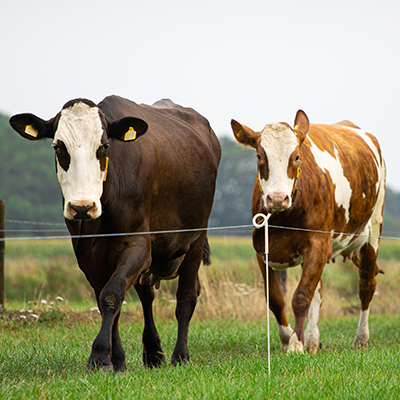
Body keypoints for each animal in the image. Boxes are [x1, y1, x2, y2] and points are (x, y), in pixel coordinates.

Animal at [10, 95, 222, 370]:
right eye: (58, 147)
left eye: (104, 147)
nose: (82, 207)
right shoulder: (87, 254)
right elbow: (108, 300)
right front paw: (117, 360)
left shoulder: (139, 244)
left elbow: (111, 295)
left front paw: (99, 357)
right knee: (147, 296)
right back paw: (153, 353)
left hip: (196, 237)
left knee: (186, 296)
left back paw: (180, 355)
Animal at [231, 111, 384, 352]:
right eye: (259, 157)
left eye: (296, 157)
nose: (277, 198)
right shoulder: (262, 248)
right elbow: (276, 298)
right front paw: (287, 338)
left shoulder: (318, 243)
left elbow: (301, 295)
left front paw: (295, 343)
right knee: (318, 293)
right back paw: (312, 340)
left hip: (374, 229)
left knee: (366, 284)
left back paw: (361, 338)